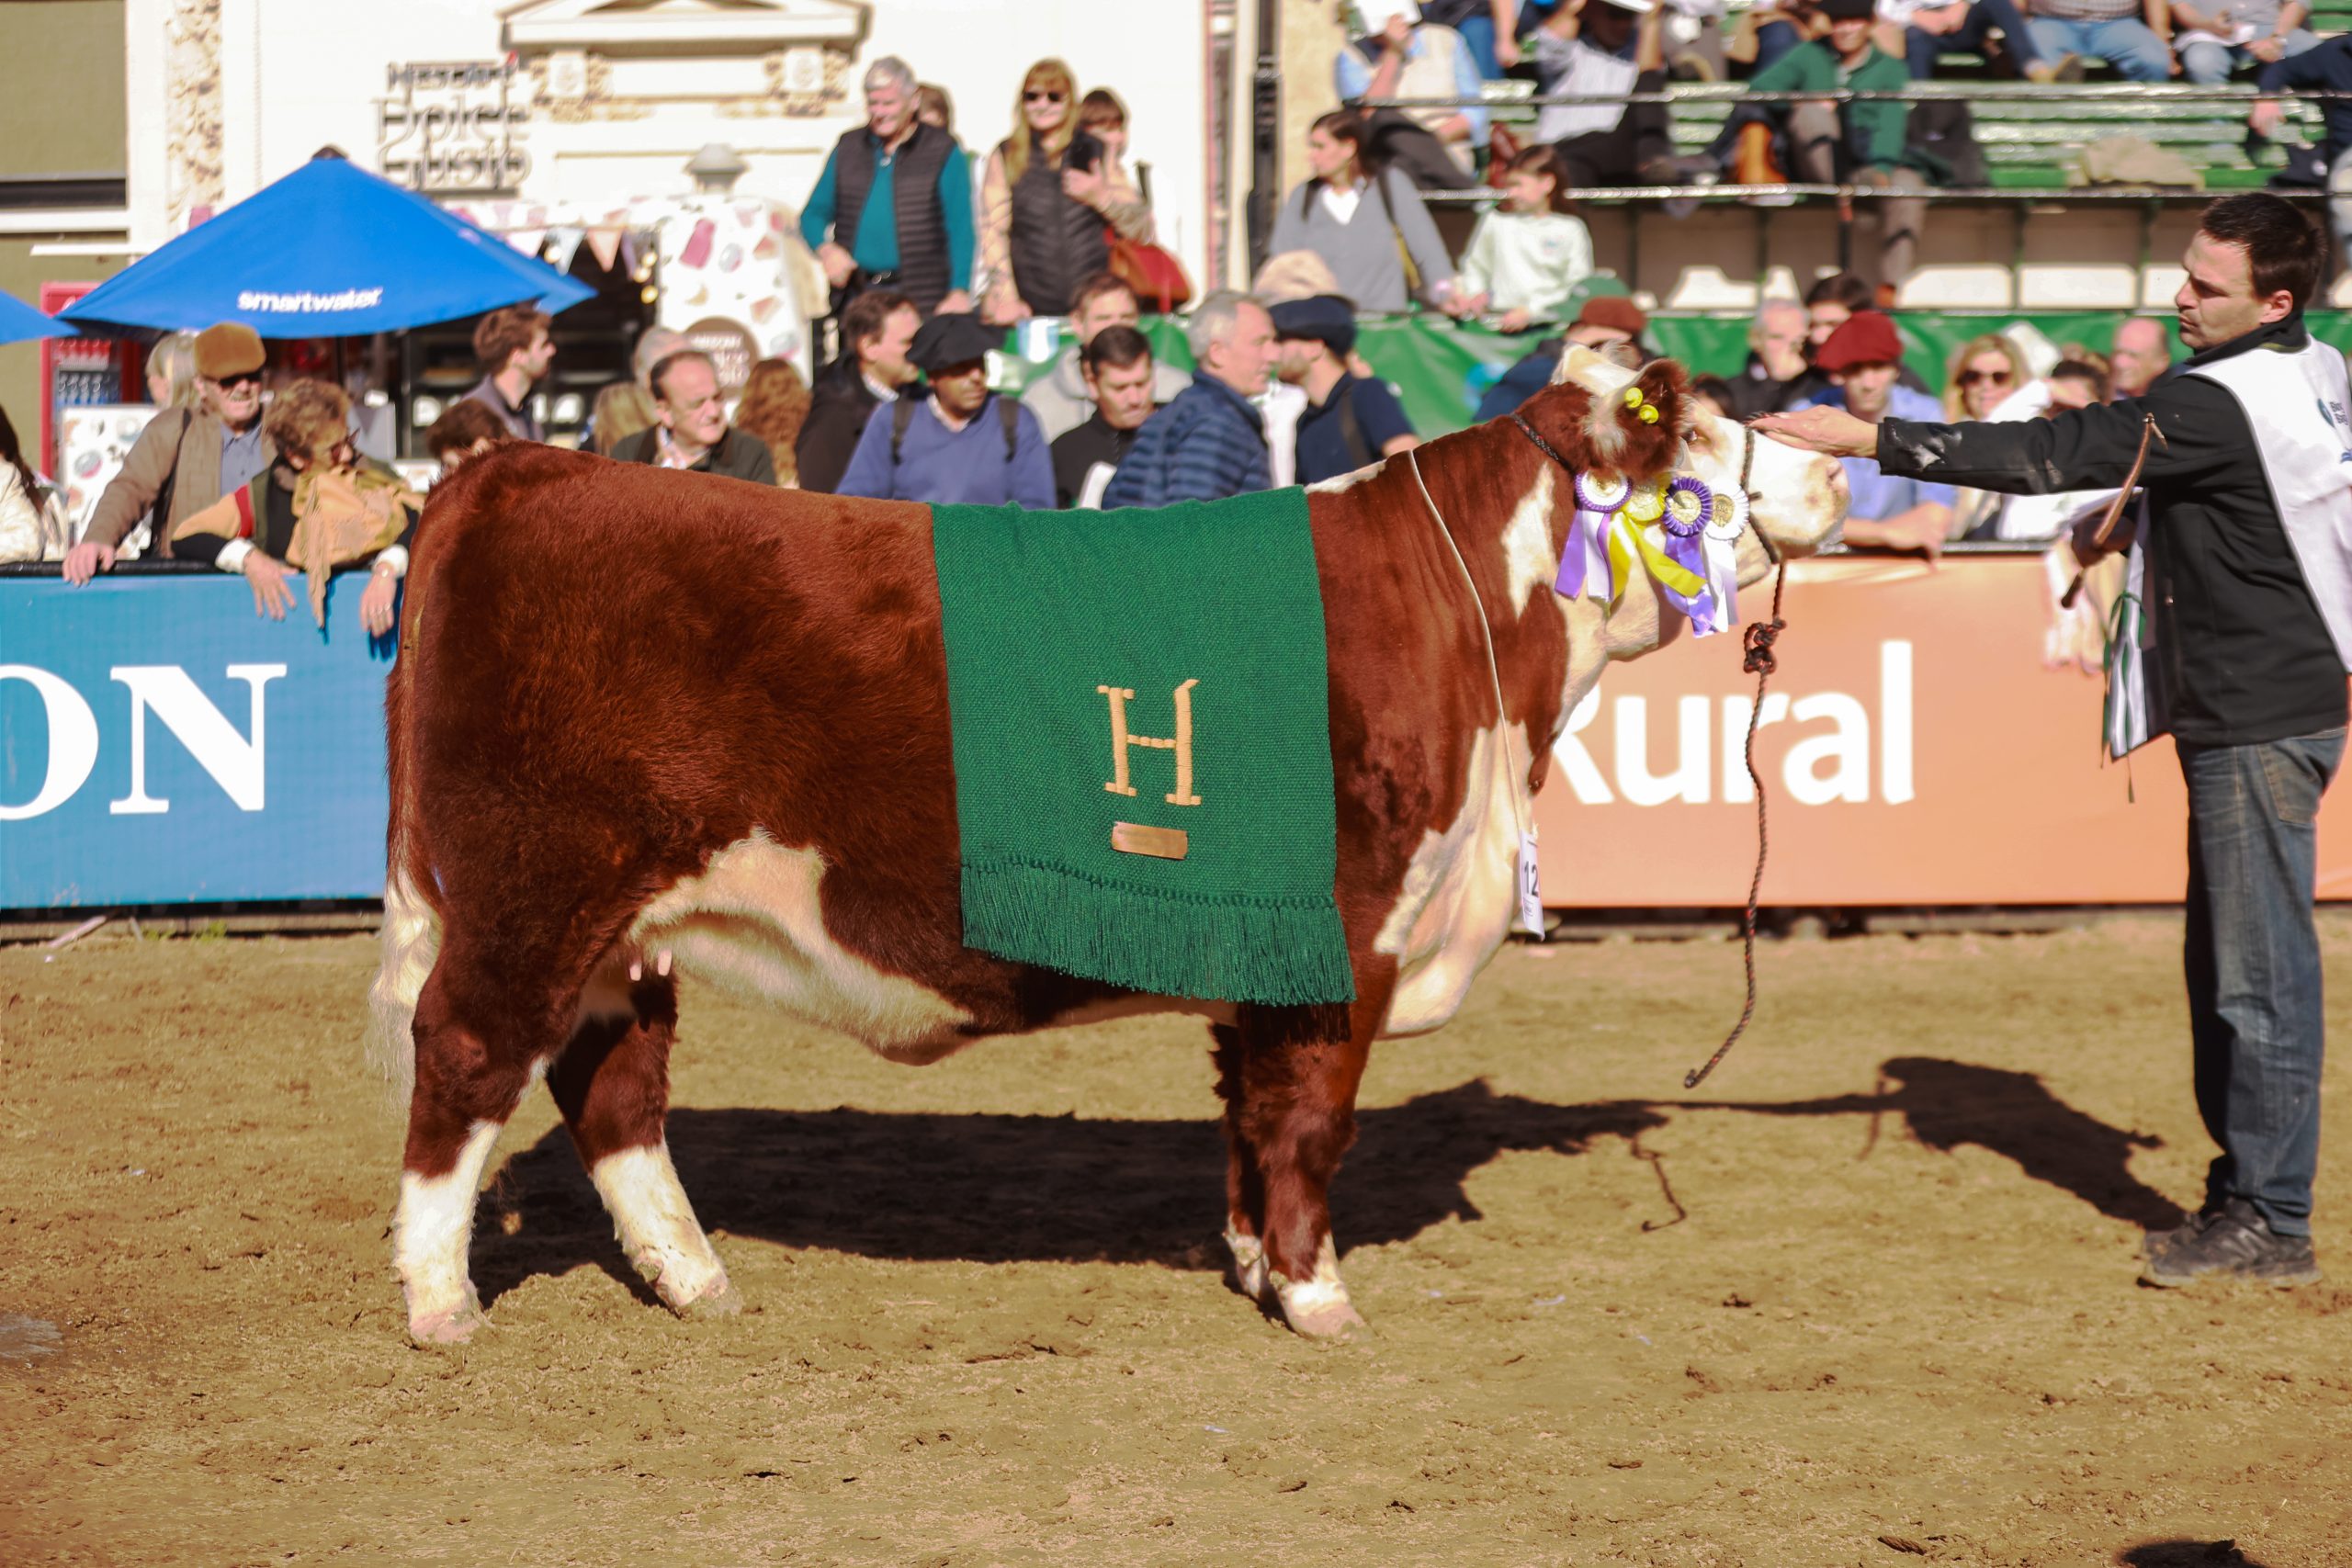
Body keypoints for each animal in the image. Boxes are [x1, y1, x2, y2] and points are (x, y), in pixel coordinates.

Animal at [367, 345, 1844, 1354]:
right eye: (1699, 430)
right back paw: (440, 1299)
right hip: (531, 889)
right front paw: (1318, 1295)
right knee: (471, 1054)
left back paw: (693, 1275)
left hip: (620, 923)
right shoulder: (1348, 928)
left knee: (611, 1084)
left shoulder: (1266, 949)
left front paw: (1253, 1267)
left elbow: (1250, 1113)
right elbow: (1313, 1118)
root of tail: (516, 468)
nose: (1837, 468)